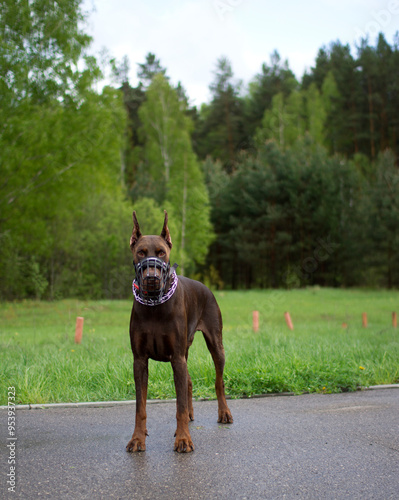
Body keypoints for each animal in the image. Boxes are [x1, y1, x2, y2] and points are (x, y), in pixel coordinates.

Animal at [126, 211, 234, 454]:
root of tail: (206, 287)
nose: (152, 278)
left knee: (218, 380)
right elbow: (140, 406)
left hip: (215, 343)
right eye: (141, 252)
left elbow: (180, 405)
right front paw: (138, 438)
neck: (155, 305)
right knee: (189, 381)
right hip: (185, 350)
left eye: (161, 253)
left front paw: (183, 439)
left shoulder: (176, 357)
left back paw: (224, 412)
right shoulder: (140, 360)